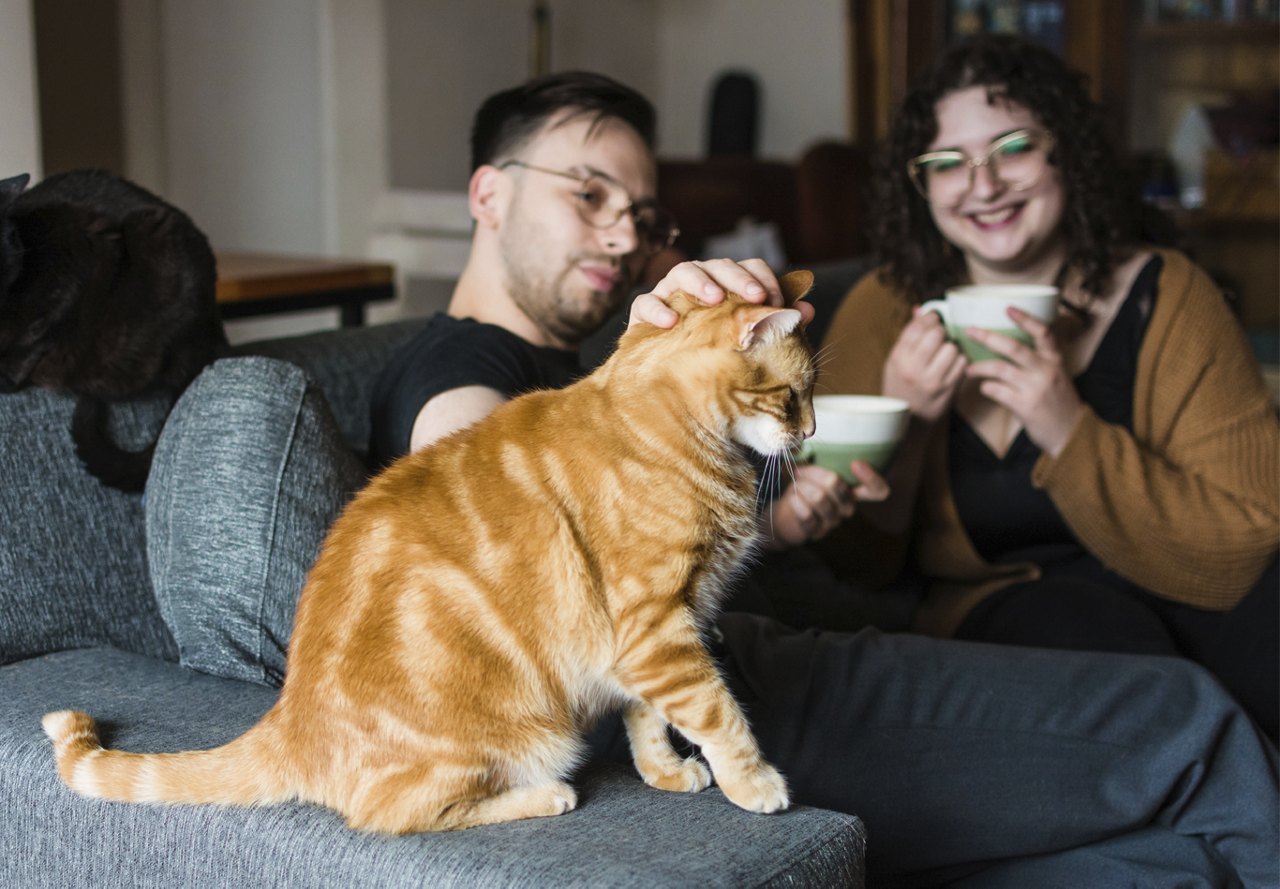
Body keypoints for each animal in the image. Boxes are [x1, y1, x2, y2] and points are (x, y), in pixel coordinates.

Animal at [45, 269, 819, 833]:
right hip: (519, 738)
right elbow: (718, 714)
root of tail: (287, 720)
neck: (663, 422)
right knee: (394, 814)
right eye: (792, 395)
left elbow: (648, 718)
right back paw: (545, 795)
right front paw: (755, 783)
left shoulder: (660, 635)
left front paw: (666, 771)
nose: (811, 434)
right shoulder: (657, 627)